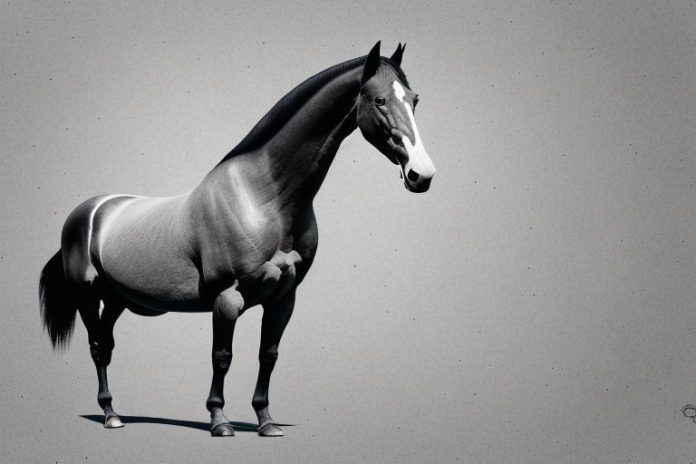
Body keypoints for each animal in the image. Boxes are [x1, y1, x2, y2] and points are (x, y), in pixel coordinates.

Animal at [39, 41, 435, 437]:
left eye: (414, 99)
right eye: (380, 99)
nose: (422, 174)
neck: (263, 197)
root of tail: (90, 210)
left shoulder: (283, 299)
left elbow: (268, 356)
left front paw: (266, 421)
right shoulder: (227, 298)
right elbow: (222, 357)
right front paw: (219, 421)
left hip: (116, 300)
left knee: (107, 343)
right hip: (87, 296)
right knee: (97, 347)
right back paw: (110, 415)